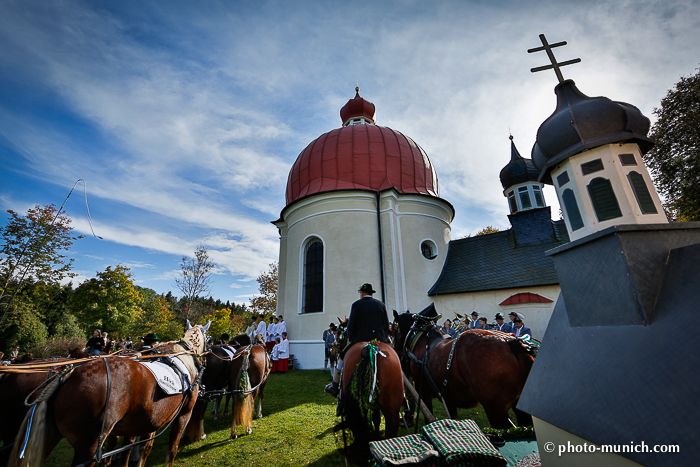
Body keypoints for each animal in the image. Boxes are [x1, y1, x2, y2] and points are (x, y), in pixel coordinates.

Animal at [9, 322, 211, 467]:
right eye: (209, 338)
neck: (183, 358)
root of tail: (68, 373)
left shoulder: (153, 419)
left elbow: (143, 449)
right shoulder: (183, 415)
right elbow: (171, 450)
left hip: (48, 438)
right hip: (88, 447)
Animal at [334, 318, 404, 464]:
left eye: (338, 333)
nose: (334, 347)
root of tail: (371, 349)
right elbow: (376, 419)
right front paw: (376, 436)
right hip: (392, 410)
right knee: (391, 433)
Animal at [392, 308, 532, 430]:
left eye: (393, 327)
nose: (393, 348)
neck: (422, 339)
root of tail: (510, 342)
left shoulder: (424, 393)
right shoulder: (448, 398)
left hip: (496, 410)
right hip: (519, 407)